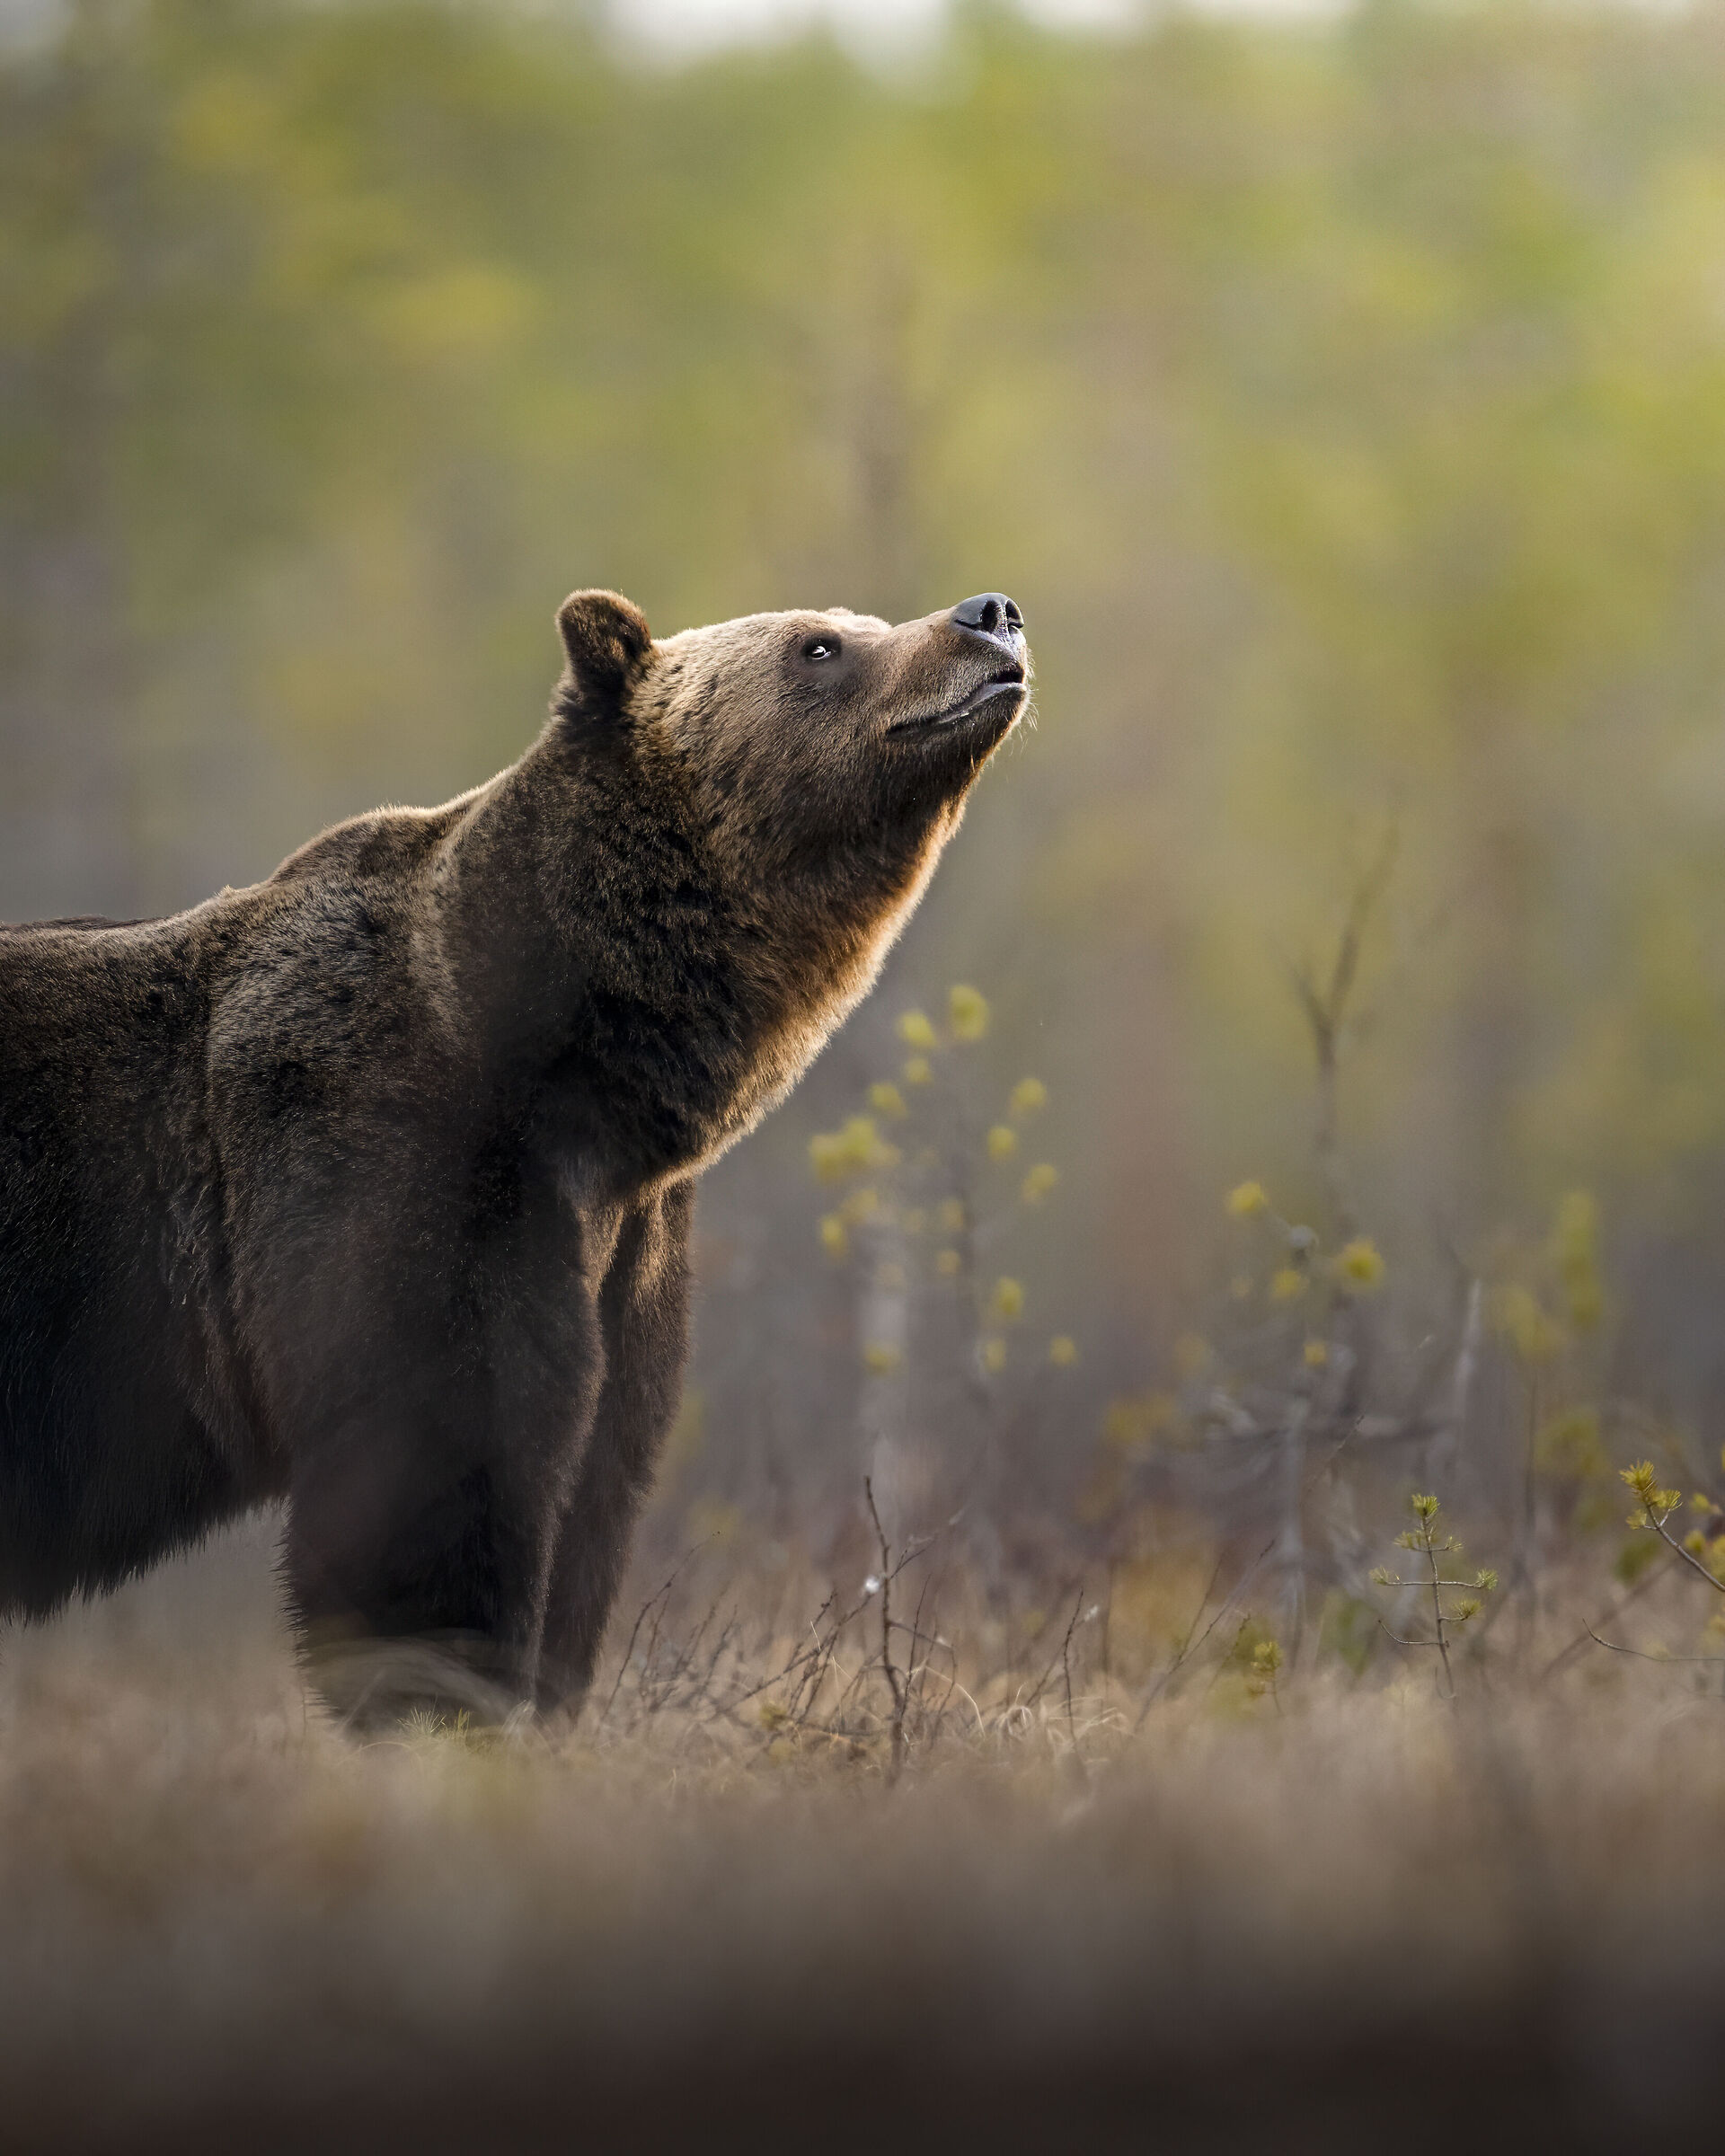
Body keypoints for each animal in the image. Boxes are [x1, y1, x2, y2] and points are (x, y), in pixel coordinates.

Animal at [0, 587, 1030, 1724]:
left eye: (856, 622)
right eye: (820, 644)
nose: (989, 613)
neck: (568, 1057)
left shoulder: (624, 1247)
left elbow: (592, 1491)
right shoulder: (391, 1164)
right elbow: (438, 1479)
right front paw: (444, 1705)